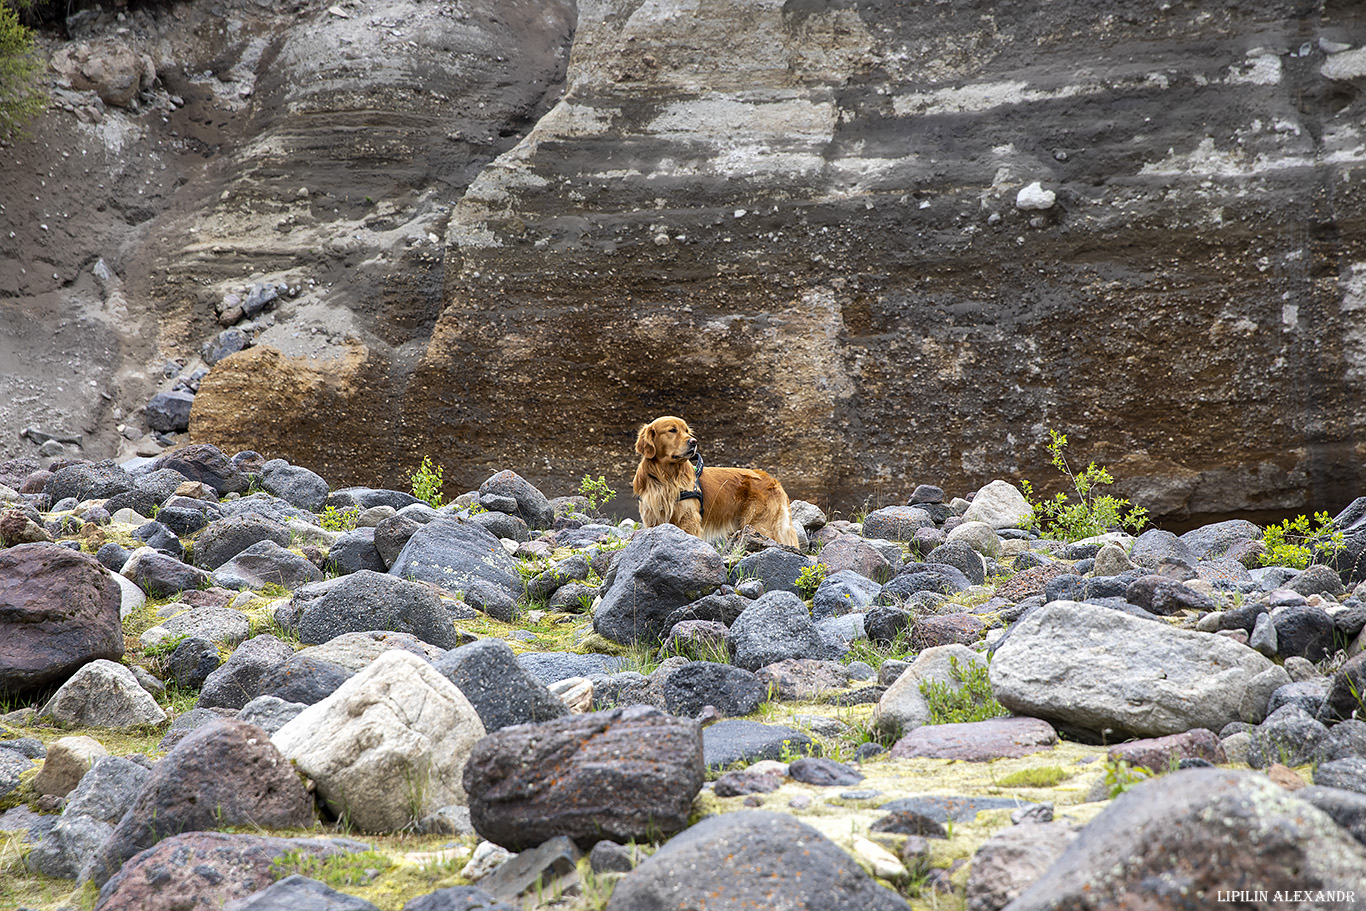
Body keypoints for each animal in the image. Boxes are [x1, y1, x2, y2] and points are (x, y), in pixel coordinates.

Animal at [631, 415, 797, 549]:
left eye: (687, 431)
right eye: (672, 430)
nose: (694, 441)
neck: (666, 477)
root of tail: (773, 480)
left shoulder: (688, 520)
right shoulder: (652, 521)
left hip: (760, 525)